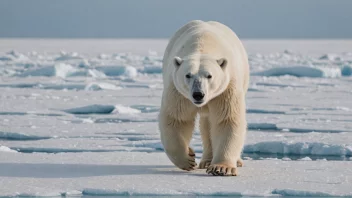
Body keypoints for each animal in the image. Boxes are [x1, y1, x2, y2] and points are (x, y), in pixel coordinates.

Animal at [158, 20, 249, 176]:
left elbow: (227, 120)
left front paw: (221, 168)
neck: (203, 45)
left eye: (209, 75)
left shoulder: (225, 90)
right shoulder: (178, 93)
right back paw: (206, 161)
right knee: (206, 125)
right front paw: (188, 159)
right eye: (188, 75)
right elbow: (176, 119)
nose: (198, 94)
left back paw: (235, 161)